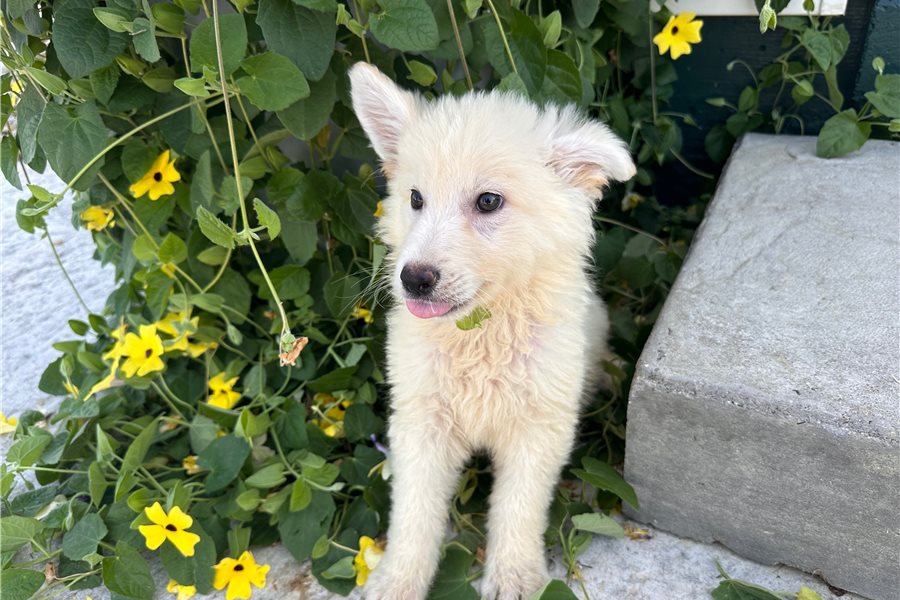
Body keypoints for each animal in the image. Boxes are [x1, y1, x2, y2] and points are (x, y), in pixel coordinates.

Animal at [349, 63, 635, 600]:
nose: (413, 278)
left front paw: (515, 577)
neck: (481, 327)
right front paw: (397, 579)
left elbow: (519, 509)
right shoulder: (421, 421)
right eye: (415, 198)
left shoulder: (538, 426)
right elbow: (414, 513)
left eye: (488, 201)